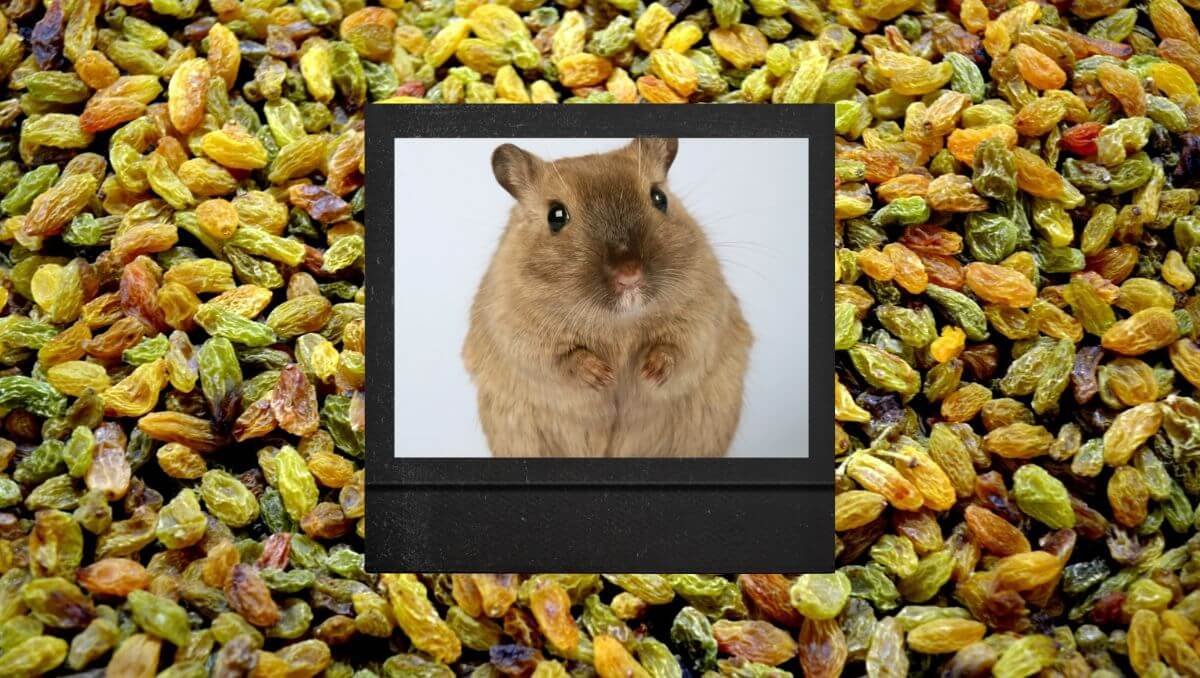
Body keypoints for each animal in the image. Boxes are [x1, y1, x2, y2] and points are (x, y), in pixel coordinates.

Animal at [462, 138, 753, 458]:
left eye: (659, 198)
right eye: (556, 216)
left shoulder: (705, 310)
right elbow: (560, 359)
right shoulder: (518, 334)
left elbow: (678, 347)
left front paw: (649, 371)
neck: (619, 321)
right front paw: (603, 376)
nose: (630, 275)